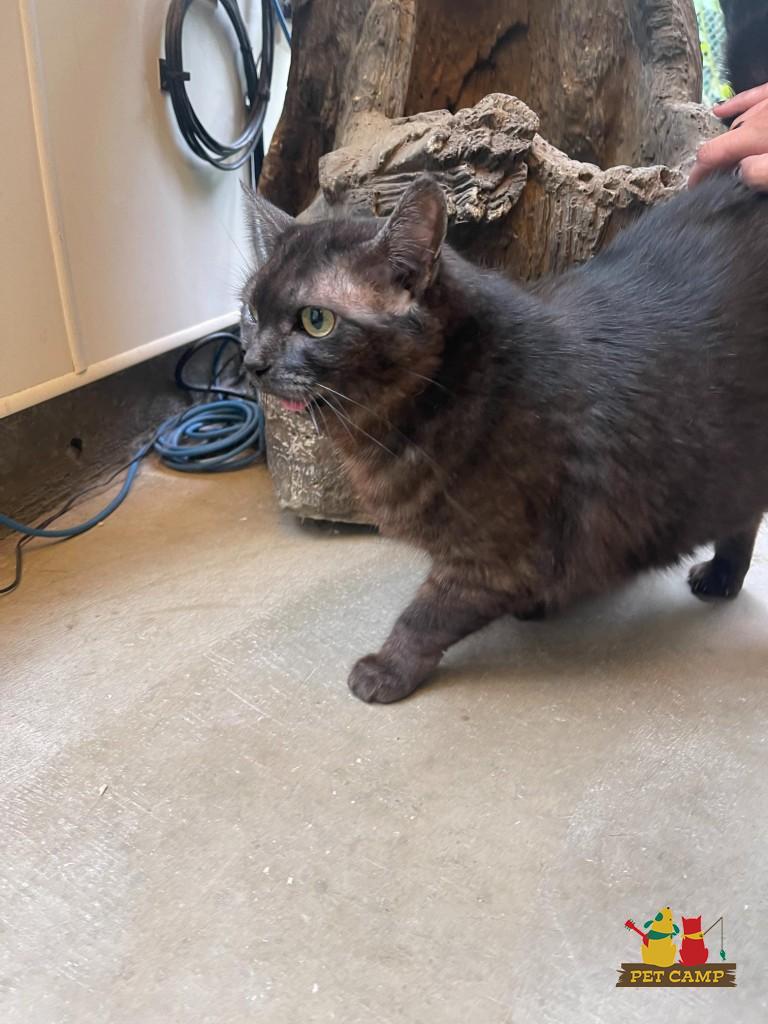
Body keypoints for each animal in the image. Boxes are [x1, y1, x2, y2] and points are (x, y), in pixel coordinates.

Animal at [241, 19, 768, 704]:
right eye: (251, 310)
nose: (252, 362)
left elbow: (427, 613)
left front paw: (387, 669)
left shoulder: (496, 555)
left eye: (315, 320)